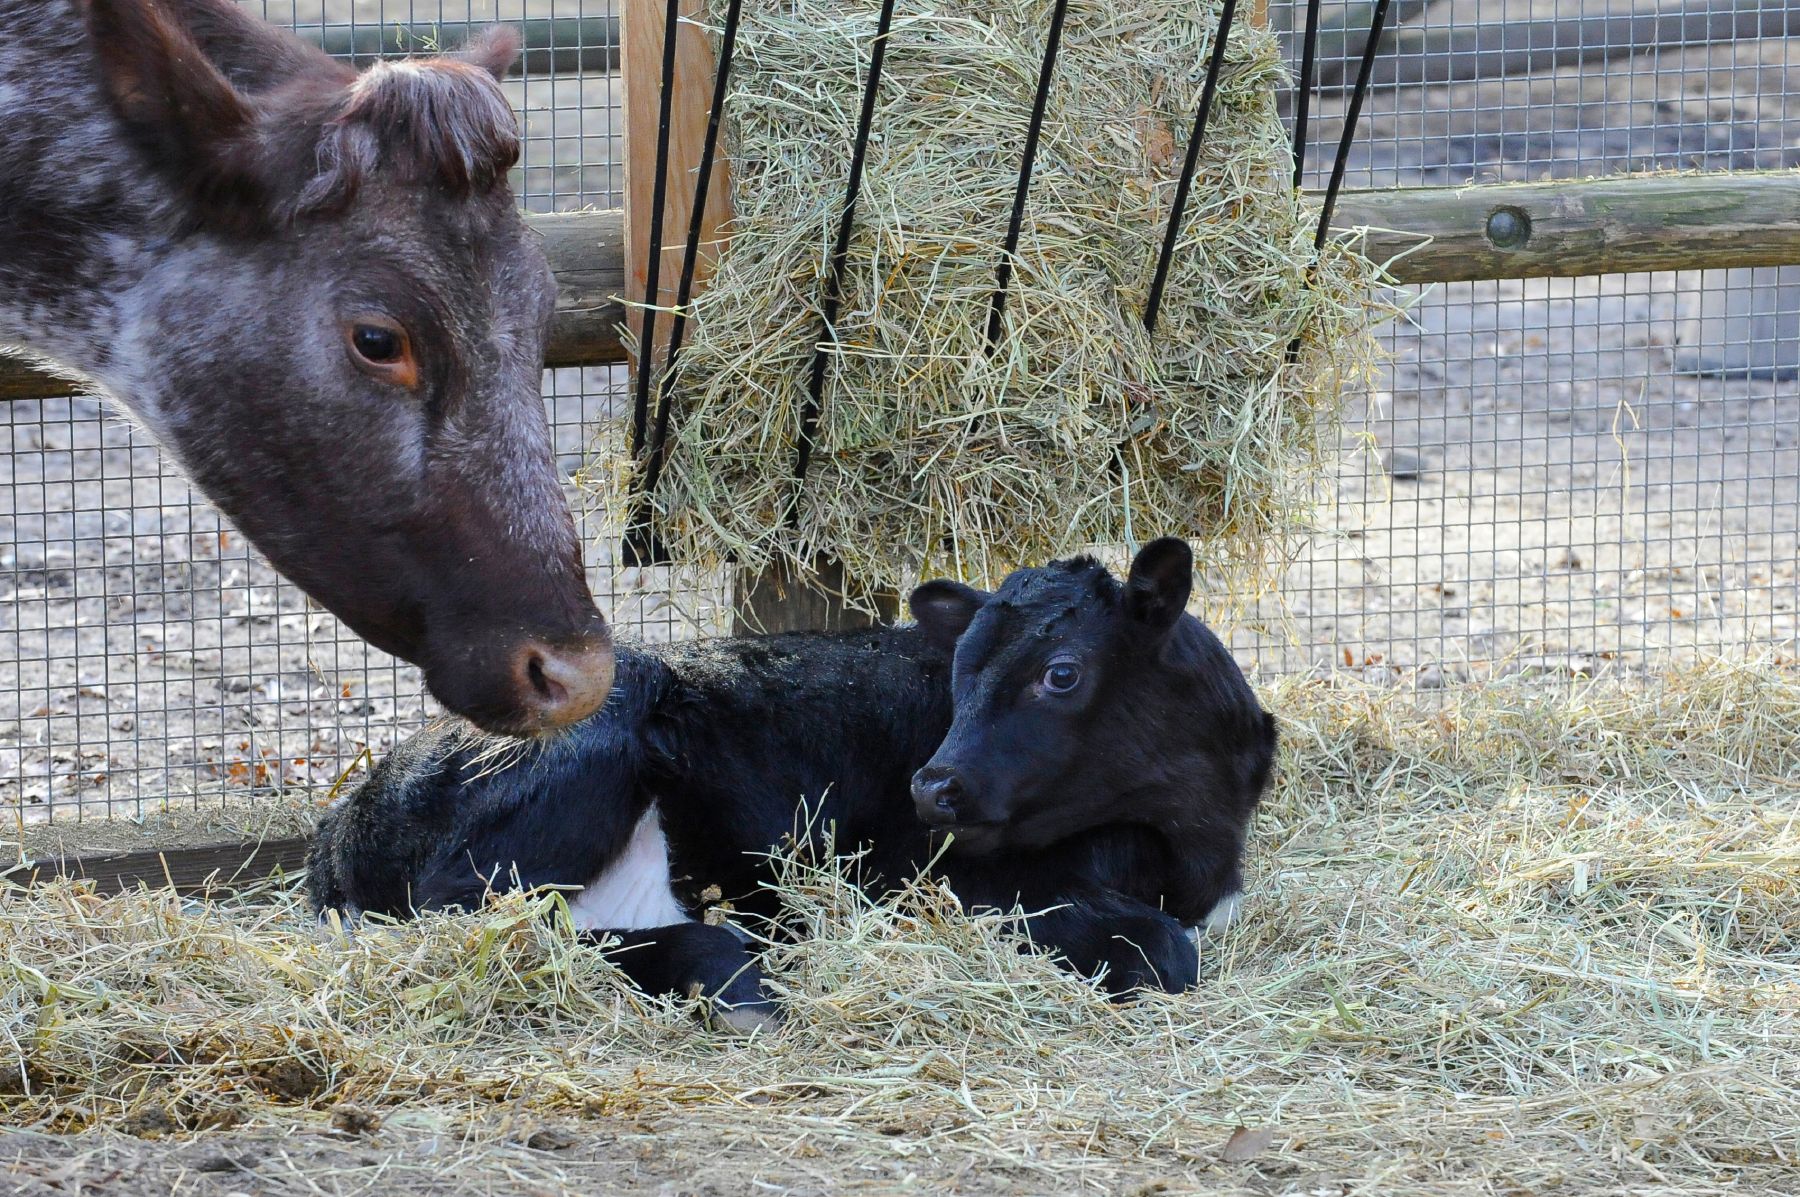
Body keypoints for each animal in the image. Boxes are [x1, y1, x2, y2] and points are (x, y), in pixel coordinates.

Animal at [309, 540, 1274, 1015]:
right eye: (961, 667)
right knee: (484, 924)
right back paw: (729, 971)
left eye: (1062, 672)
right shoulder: (949, 880)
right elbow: (1163, 949)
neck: (1191, 841)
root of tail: (341, 821)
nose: (933, 787)